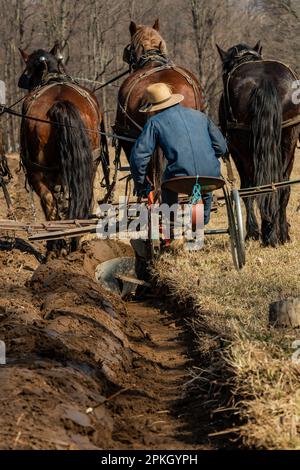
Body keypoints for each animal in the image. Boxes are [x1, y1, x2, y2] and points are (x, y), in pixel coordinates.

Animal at [17, 45, 109, 253]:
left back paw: (55, 248)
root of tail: (59, 103)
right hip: (86, 166)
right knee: (77, 201)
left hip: (36, 171)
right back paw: (71, 244)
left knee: (50, 203)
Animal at [217, 42, 300, 248]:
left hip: (245, 150)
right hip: (289, 141)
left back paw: (267, 234)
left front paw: (253, 232)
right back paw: (281, 234)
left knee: (255, 187)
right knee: (282, 187)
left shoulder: (237, 153)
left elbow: (246, 189)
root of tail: (265, 82)